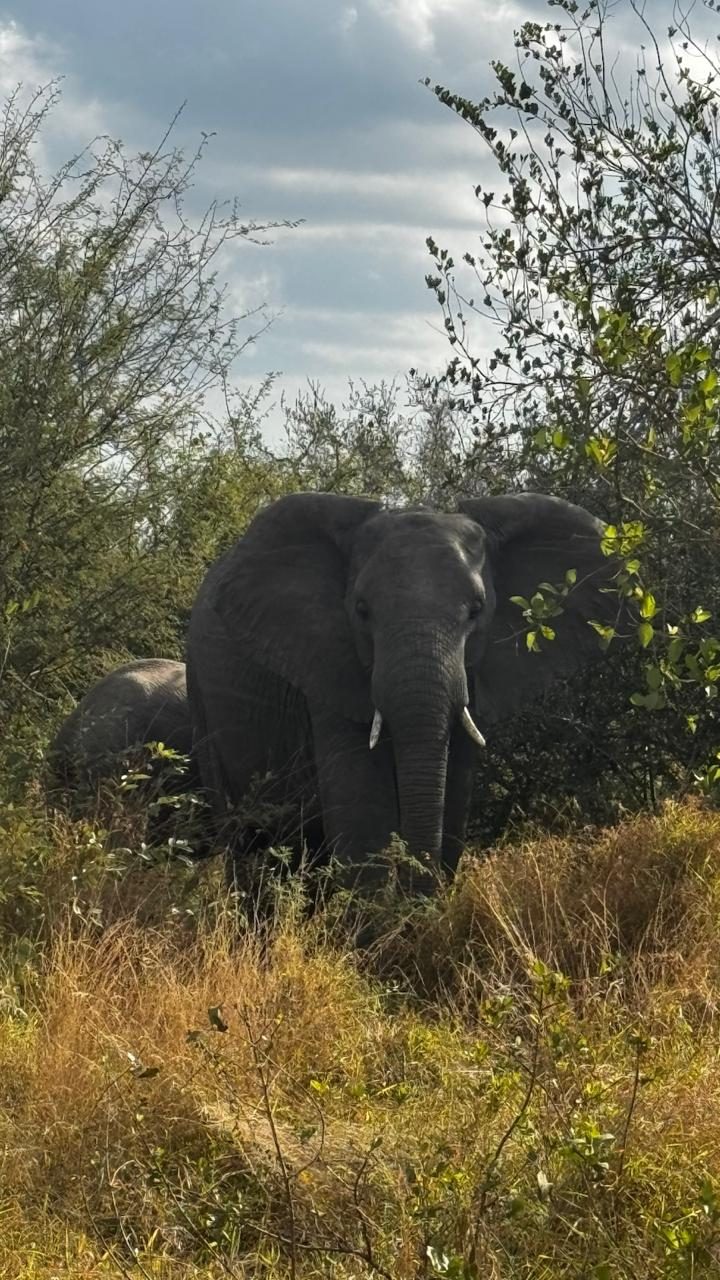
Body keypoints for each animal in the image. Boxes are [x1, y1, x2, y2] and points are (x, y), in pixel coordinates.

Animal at [186, 491, 621, 891]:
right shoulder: (328, 663)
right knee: (248, 840)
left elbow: (453, 799)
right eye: (361, 610)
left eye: (477, 610)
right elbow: (365, 812)